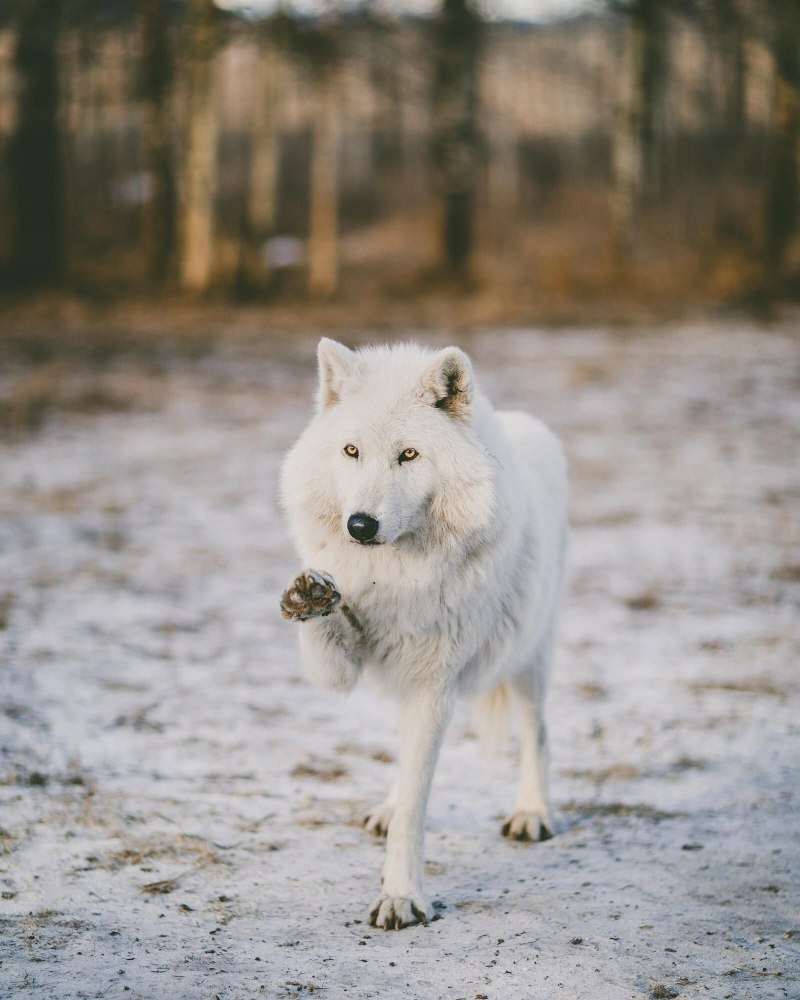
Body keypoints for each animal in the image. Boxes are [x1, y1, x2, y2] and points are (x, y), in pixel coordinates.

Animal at [279, 339, 568, 931]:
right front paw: (309, 595)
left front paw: (400, 897)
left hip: (528, 660)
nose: (359, 525)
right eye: (351, 451)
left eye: (409, 455)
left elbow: (419, 802)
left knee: (538, 733)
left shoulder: (434, 684)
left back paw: (532, 813)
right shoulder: (349, 669)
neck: (393, 577)